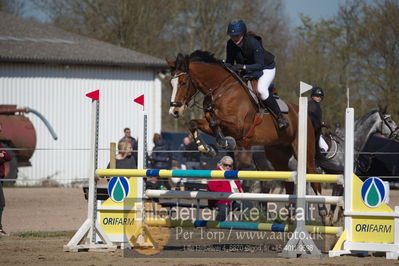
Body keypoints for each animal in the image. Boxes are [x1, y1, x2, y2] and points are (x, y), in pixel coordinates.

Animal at [167, 50, 330, 224]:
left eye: (183, 82)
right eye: (171, 84)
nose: (174, 112)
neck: (220, 90)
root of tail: (307, 116)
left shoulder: (240, 127)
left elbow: (215, 122)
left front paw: (226, 142)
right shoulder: (209, 123)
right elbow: (194, 124)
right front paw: (207, 148)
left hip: (305, 152)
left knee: (314, 178)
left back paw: (324, 214)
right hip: (278, 156)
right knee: (288, 181)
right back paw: (292, 216)